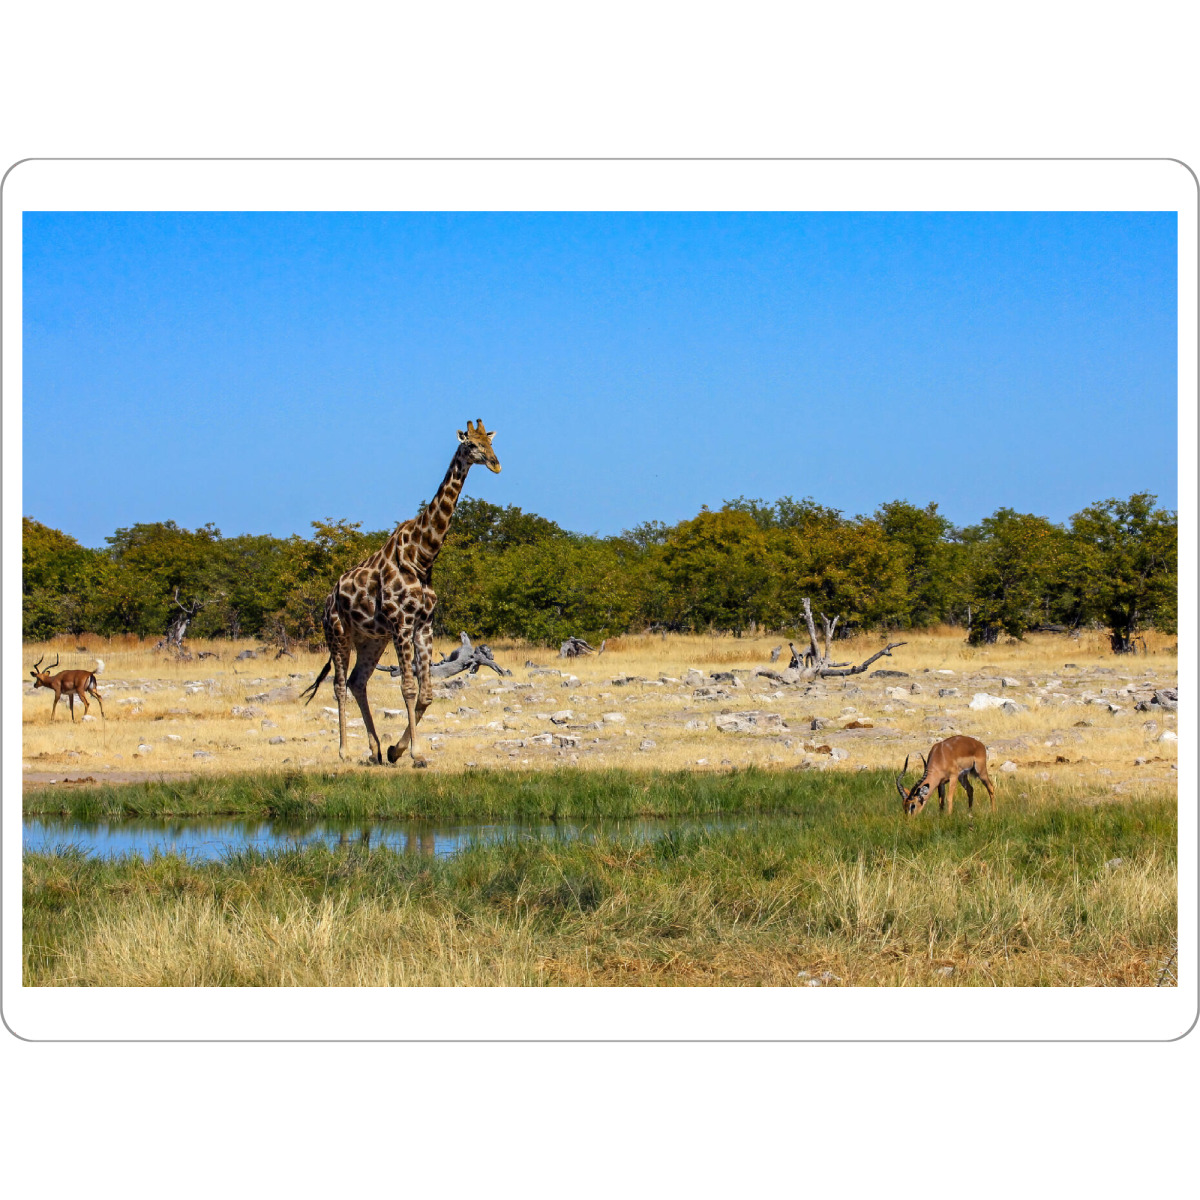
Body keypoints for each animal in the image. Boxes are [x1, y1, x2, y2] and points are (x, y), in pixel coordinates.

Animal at [300, 421, 501, 767]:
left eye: (489, 443)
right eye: (471, 445)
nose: (495, 464)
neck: (422, 556)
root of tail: (327, 601)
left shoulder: (423, 626)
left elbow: (427, 693)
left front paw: (397, 750)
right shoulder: (402, 624)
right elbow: (408, 688)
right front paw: (416, 754)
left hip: (371, 640)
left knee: (357, 681)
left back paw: (376, 750)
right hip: (337, 633)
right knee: (339, 685)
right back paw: (344, 751)